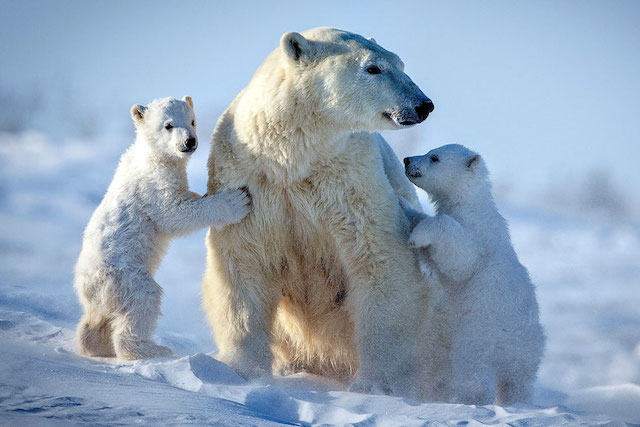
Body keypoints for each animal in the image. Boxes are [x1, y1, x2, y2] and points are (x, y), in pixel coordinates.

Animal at [202, 28, 442, 400]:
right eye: (373, 68)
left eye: (400, 63)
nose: (423, 104)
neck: (293, 157)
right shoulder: (251, 182)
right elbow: (243, 263)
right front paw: (243, 372)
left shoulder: (349, 181)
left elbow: (378, 259)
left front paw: (376, 384)